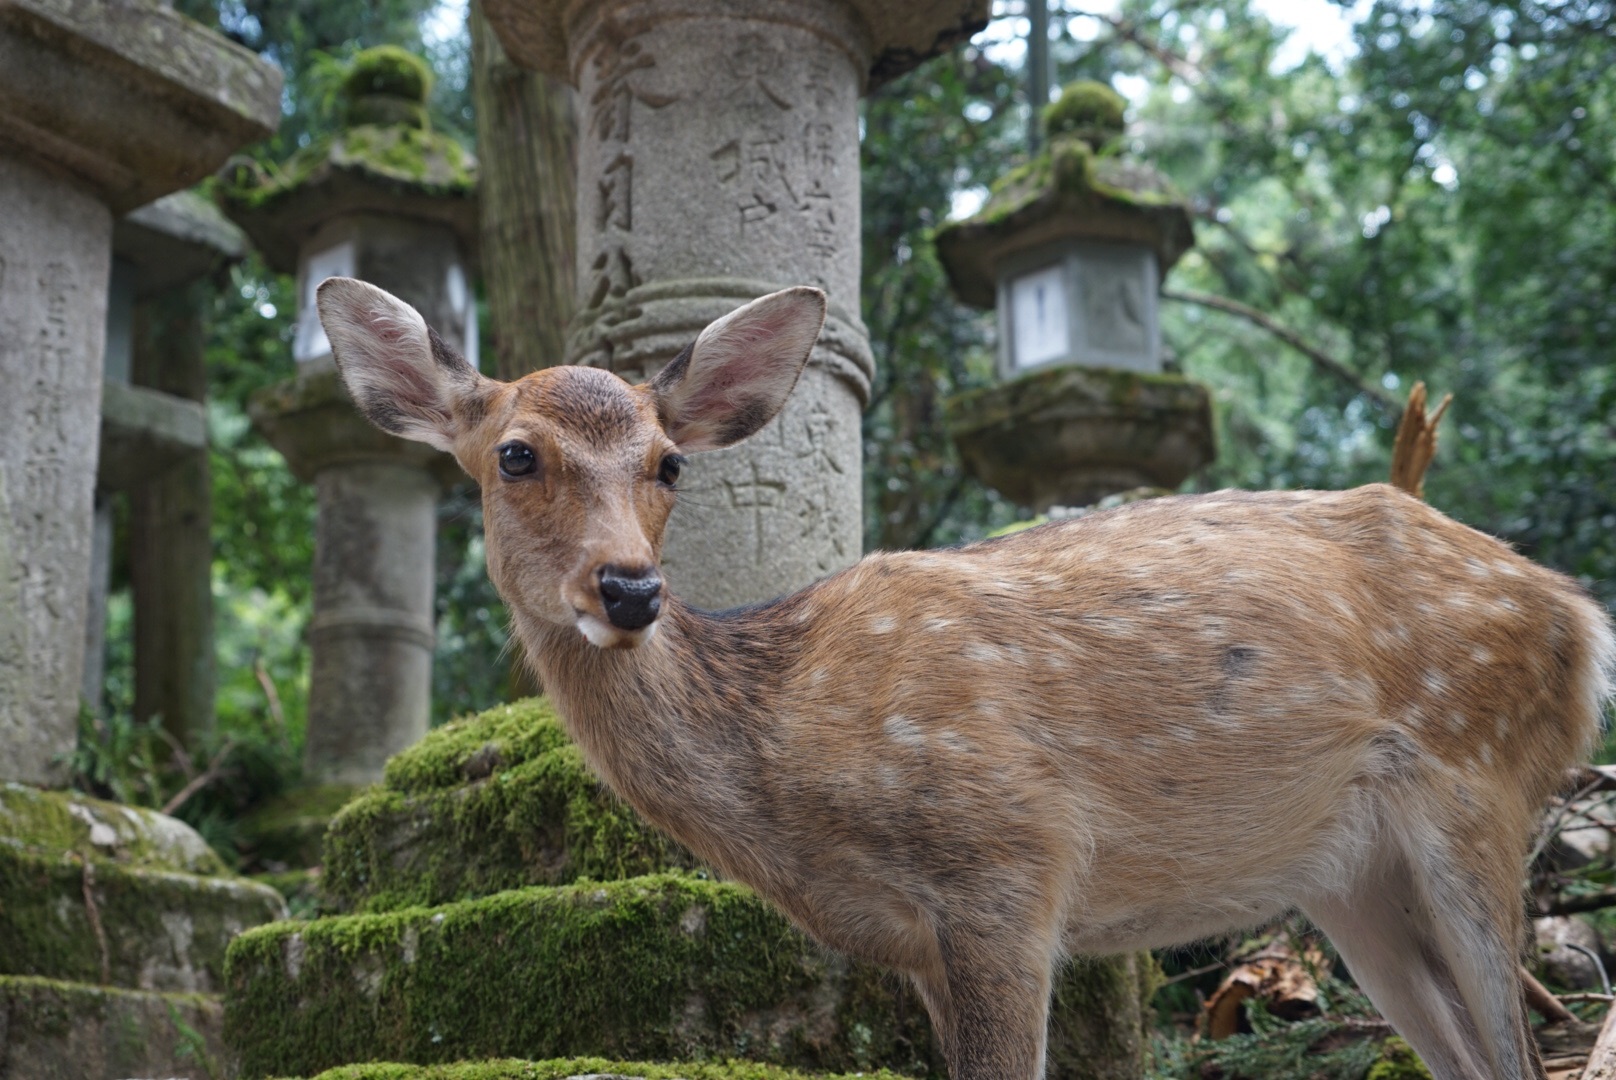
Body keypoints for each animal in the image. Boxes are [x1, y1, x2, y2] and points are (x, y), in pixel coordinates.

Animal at [318, 278, 1616, 1080]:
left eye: (667, 462)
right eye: (514, 455)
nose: (628, 589)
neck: (783, 757)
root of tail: (1577, 615)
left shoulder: (1008, 865)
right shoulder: (918, 943)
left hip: (1475, 785)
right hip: (1349, 879)